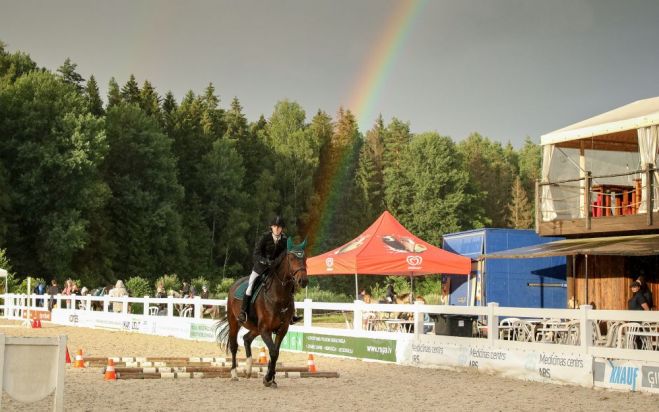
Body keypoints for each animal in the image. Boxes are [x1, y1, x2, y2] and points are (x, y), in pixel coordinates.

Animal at [217, 237, 310, 388]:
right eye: (291, 258)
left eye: (305, 258)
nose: (304, 281)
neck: (278, 296)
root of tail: (234, 284)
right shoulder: (265, 329)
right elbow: (273, 351)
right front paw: (267, 378)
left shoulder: (281, 330)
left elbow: (276, 353)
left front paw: (271, 379)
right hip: (235, 322)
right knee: (234, 345)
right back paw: (234, 374)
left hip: (255, 327)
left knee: (246, 339)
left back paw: (248, 370)